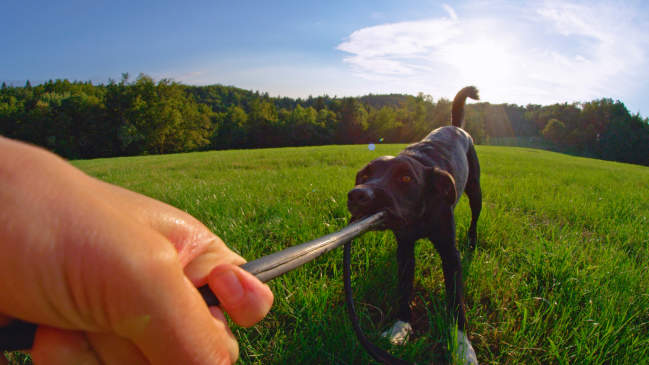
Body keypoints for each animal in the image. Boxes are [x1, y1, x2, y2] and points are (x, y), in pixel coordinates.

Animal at [350, 86, 480, 362]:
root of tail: (455, 127)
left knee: (475, 217)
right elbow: (403, 289)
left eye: (406, 178)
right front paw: (400, 328)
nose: (357, 195)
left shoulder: (450, 255)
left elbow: (456, 303)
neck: (419, 213)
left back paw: (473, 241)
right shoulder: (405, 249)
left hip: (475, 190)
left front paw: (463, 347)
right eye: (365, 175)